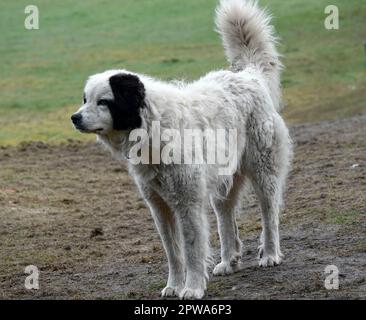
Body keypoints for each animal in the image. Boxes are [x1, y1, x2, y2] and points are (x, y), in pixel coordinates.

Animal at [72, 0, 292, 300]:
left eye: (103, 102)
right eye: (85, 100)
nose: (74, 117)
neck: (151, 127)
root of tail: (248, 76)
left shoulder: (187, 204)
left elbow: (192, 250)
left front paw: (193, 288)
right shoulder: (159, 206)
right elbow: (173, 252)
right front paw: (174, 285)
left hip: (263, 171)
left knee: (269, 214)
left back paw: (270, 254)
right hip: (221, 185)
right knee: (226, 220)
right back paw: (229, 261)